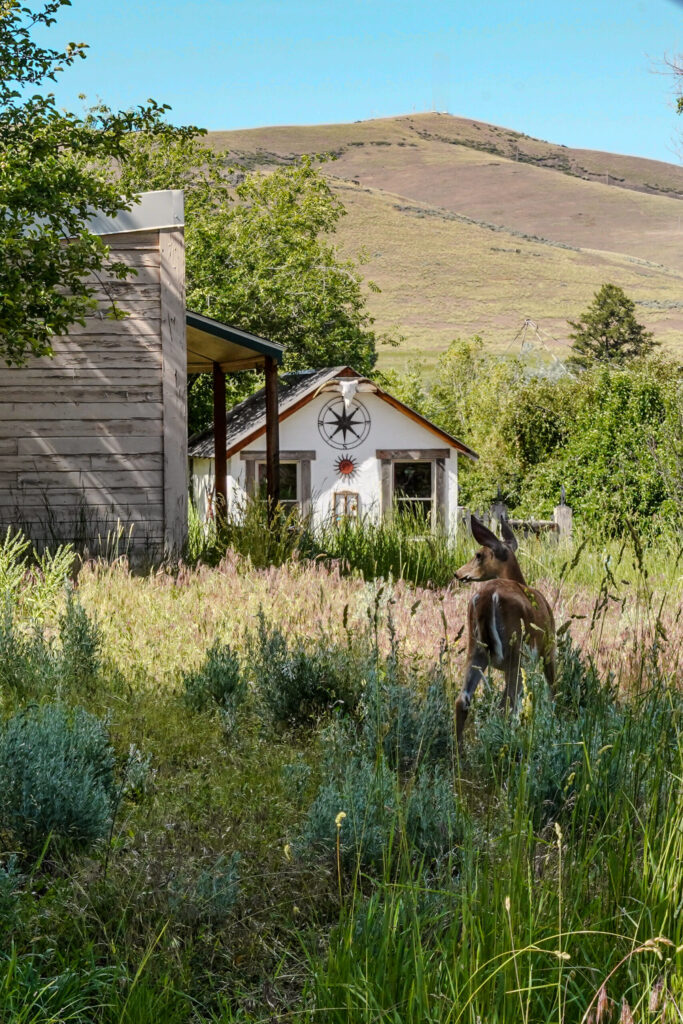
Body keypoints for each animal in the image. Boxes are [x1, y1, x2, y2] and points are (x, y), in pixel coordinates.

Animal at [453, 515, 555, 745]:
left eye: (478, 554)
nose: (458, 572)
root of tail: (486, 597)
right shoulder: (548, 648)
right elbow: (552, 688)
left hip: (476, 648)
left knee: (462, 699)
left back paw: (460, 750)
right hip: (515, 653)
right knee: (506, 705)